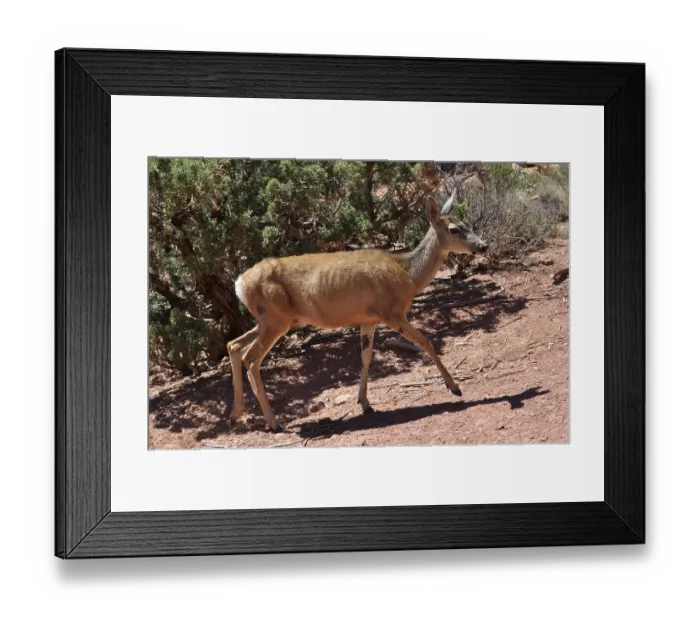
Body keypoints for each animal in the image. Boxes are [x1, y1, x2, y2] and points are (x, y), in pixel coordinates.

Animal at [227, 188, 489, 432]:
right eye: (454, 229)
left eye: (467, 223)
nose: (483, 246)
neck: (408, 275)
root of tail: (240, 284)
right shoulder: (391, 312)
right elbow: (426, 342)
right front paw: (454, 387)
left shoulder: (368, 319)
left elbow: (366, 356)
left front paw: (365, 403)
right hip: (275, 319)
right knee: (251, 358)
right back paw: (274, 423)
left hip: (271, 320)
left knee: (234, 345)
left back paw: (236, 413)